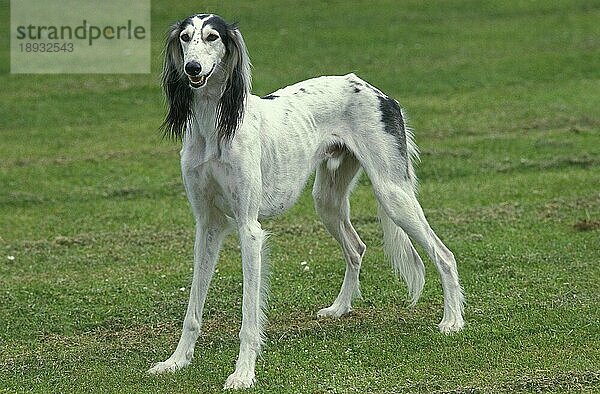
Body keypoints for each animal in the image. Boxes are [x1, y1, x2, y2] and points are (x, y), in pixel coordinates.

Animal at [148, 13, 466, 390]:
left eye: (212, 36)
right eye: (185, 37)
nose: (193, 68)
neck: (214, 125)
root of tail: (378, 92)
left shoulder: (248, 229)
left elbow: (249, 314)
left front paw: (243, 374)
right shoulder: (207, 226)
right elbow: (193, 309)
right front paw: (176, 361)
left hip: (393, 194)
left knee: (444, 254)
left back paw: (453, 321)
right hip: (326, 200)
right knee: (356, 248)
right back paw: (340, 308)